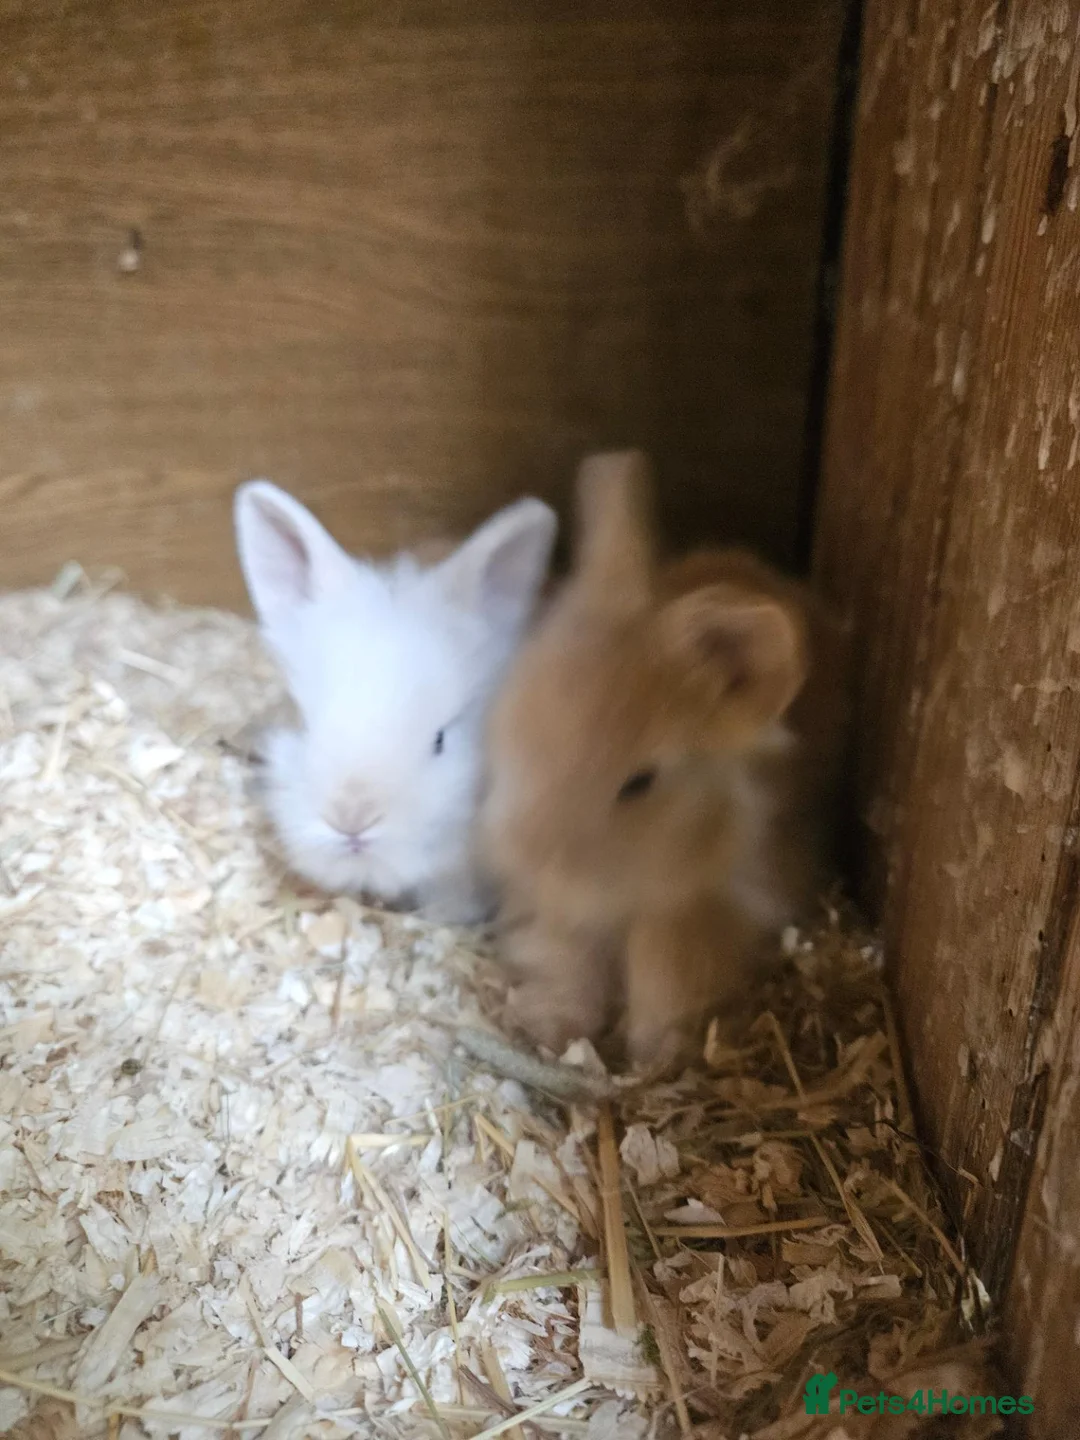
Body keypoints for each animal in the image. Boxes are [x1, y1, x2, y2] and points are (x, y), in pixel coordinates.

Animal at [478, 450, 849, 1068]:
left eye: (640, 782)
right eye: (510, 728)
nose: (528, 859)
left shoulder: (710, 907)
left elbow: (666, 971)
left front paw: (654, 1053)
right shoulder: (562, 916)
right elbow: (568, 961)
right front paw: (551, 1024)